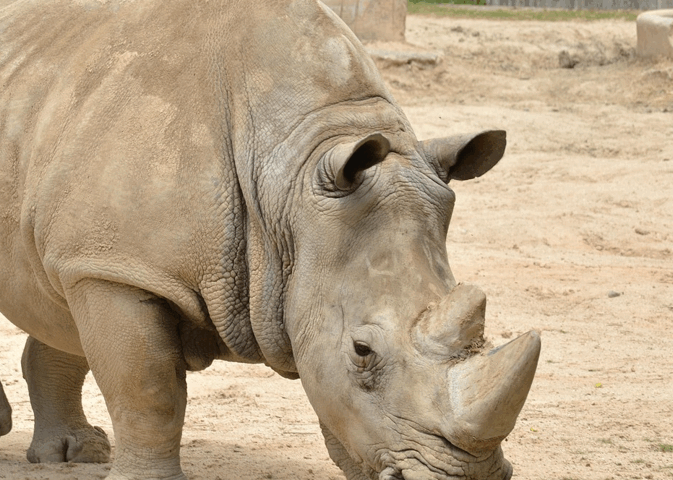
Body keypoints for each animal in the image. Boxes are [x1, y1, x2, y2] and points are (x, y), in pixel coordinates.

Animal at [0, 0, 541, 479]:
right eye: (362, 351)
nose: (465, 476)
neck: (291, 186)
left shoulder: (98, 255)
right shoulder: (117, 266)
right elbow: (148, 391)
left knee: (54, 296)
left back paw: (76, 454)